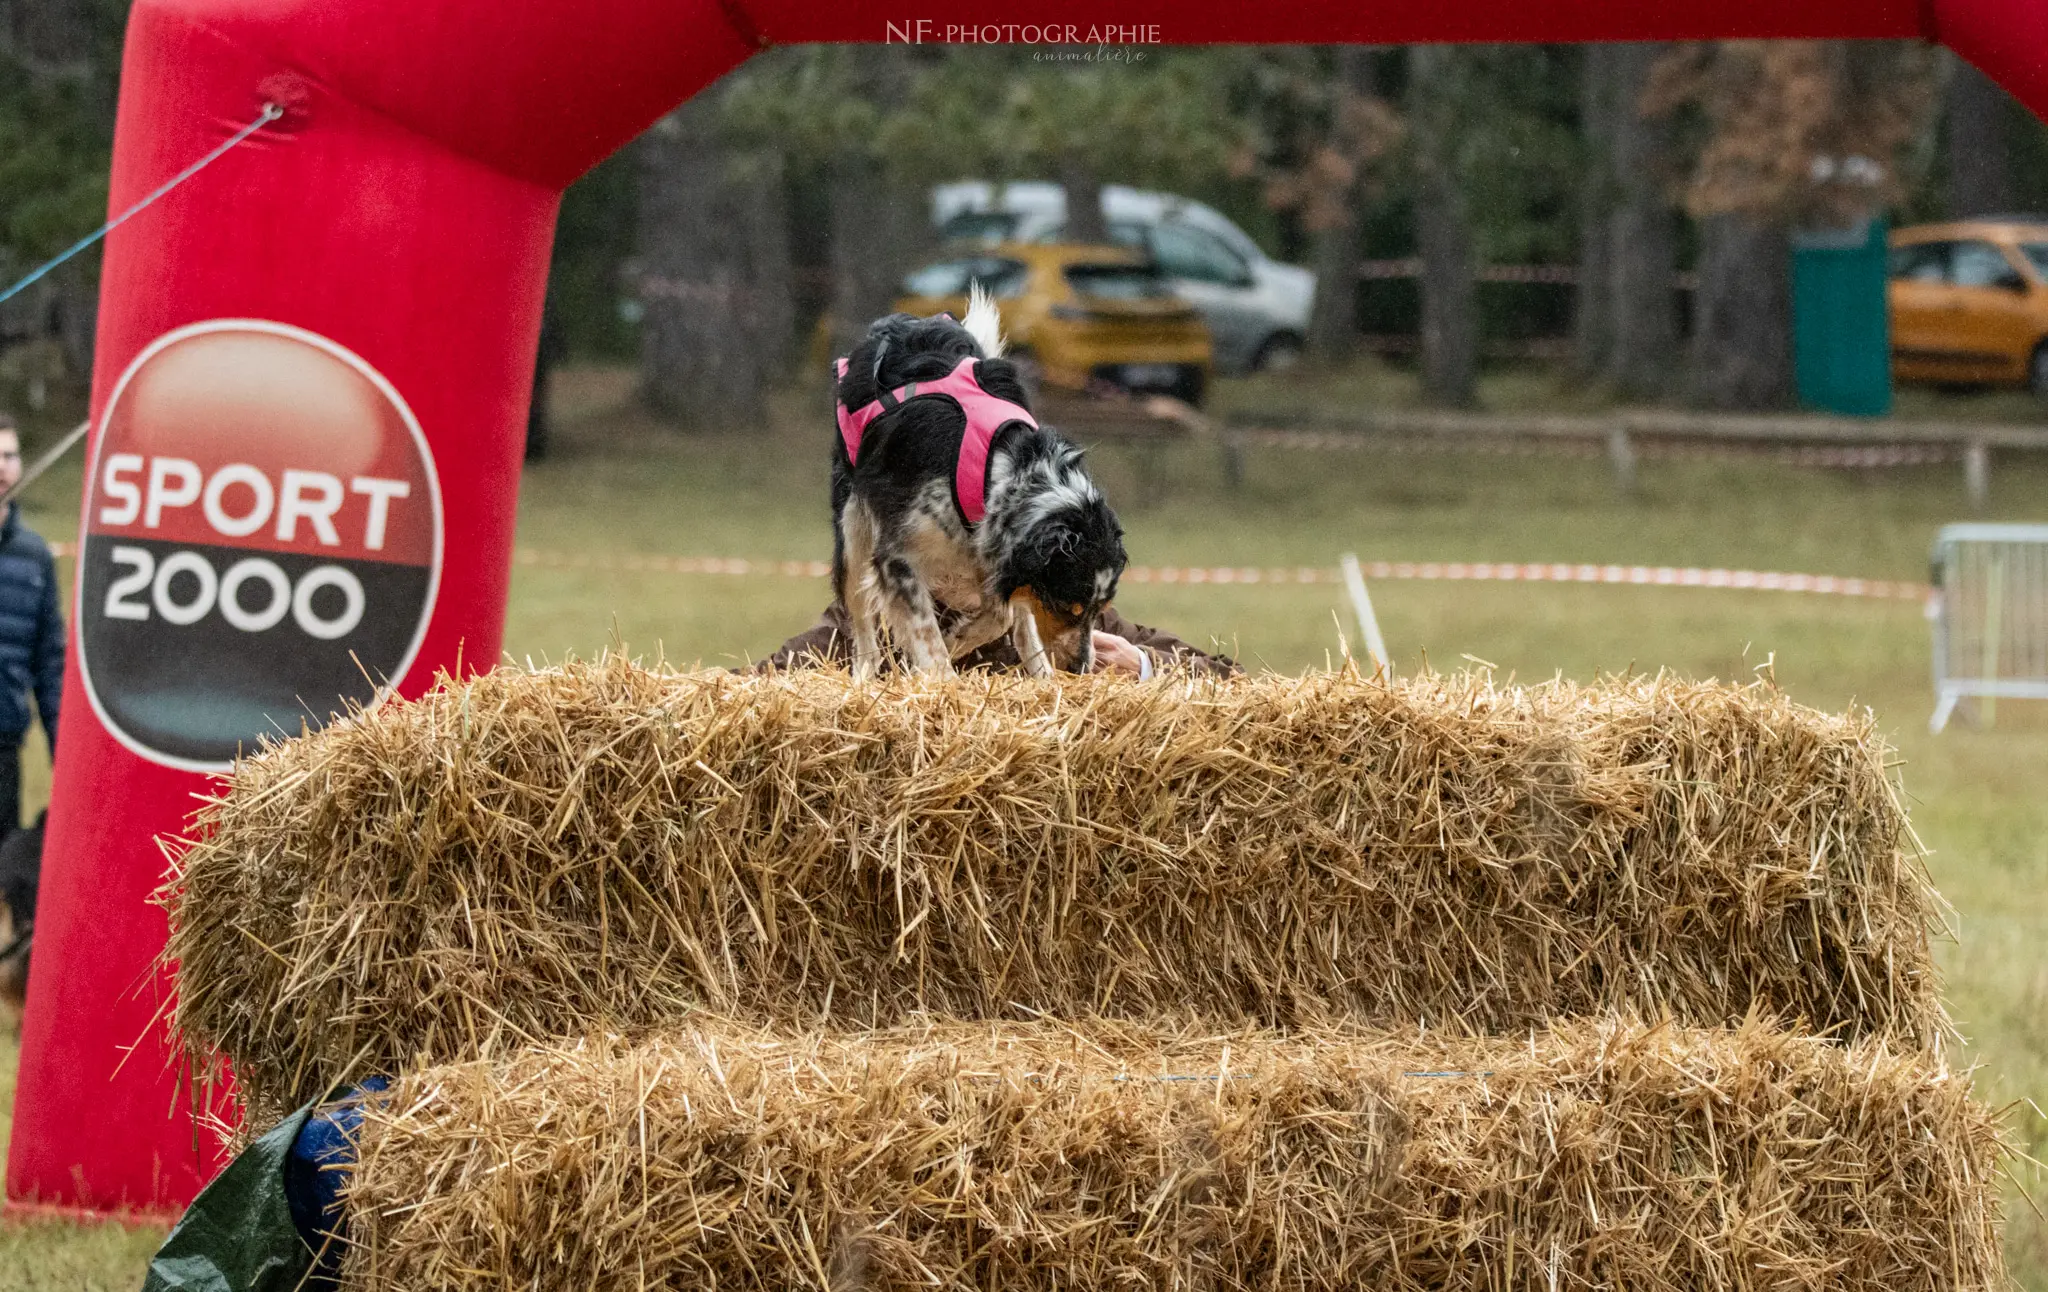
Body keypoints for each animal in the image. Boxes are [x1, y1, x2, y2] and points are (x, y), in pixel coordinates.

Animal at [823, 288, 1130, 683]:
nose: (1080, 668)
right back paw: (862, 678)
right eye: (1070, 606)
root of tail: (900, 322)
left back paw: (1041, 673)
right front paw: (944, 675)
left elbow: (1004, 614)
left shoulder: (998, 561)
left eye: (1099, 609)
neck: (1001, 470)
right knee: (862, 621)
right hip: (853, 526)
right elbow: (928, 631)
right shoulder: (896, 557)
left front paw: (959, 639)